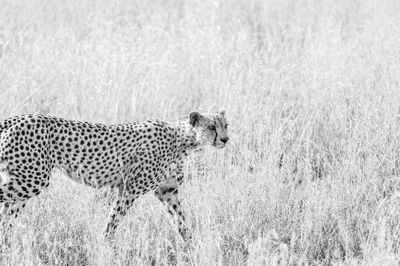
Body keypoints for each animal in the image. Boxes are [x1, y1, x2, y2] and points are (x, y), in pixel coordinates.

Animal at [0, 110, 228, 239]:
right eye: (211, 127)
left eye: (225, 125)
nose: (225, 139)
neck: (181, 139)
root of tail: (19, 117)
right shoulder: (129, 189)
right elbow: (113, 220)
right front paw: (105, 244)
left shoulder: (167, 192)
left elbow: (181, 222)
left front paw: (193, 247)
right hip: (33, 179)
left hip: (22, 182)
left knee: (6, 216)